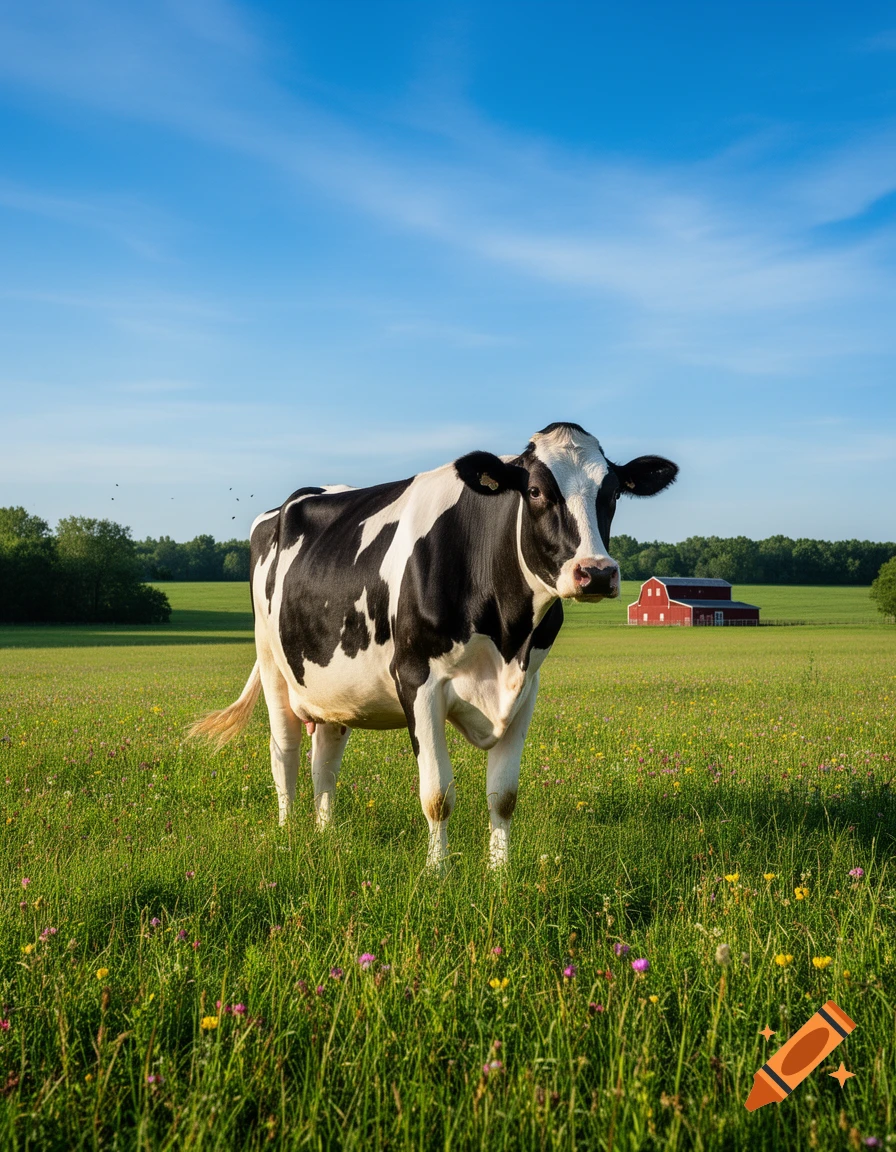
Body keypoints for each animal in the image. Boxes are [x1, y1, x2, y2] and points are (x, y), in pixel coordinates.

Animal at [189, 422, 677, 869]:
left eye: (613, 494)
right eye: (537, 491)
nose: (596, 572)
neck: (507, 637)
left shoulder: (526, 687)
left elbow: (503, 795)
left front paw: (499, 874)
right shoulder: (417, 680)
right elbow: (437, 793)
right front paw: (437, 872)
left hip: (333, 685)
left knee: (324, 760)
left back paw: (327, 837)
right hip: (273, 663)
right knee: (285, 752)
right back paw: (289, 834)